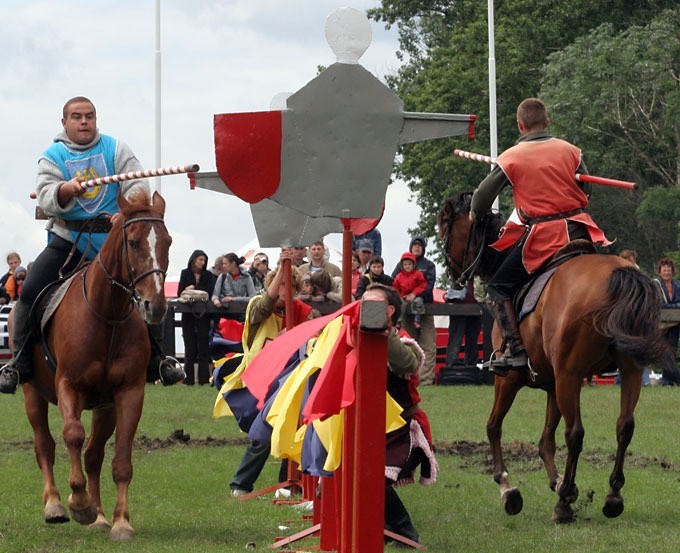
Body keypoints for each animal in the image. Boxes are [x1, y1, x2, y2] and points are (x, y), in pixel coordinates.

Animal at [20, 189, 173, 540]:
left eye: (168, 242)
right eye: (132, 242)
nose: (155, 306)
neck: (107, 315)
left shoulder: (128, 393)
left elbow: (121, 460)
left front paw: (120, 522)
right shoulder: (68, 385)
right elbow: (72, 434)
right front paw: (79, 502)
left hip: (105, 407)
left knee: (93, 455)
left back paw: (100, 516)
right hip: (33, 392)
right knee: (45, 445)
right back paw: (55, 504)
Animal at [438, 192, 668, 520]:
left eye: (445, 229)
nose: (453, 282)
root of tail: (619, 274)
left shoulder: (509, 380)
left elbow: (494, 427)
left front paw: (508, 488)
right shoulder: (552, 384)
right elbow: (546, 440)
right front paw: (559, 482)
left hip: (569, 376)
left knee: (576, 433)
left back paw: (564, 506)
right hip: (626, 372)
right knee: (624, 426)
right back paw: (612, 495)